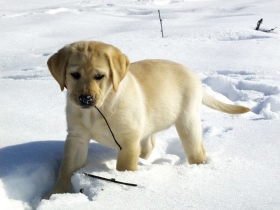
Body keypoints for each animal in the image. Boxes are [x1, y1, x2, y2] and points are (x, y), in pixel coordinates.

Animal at [43, 40, 249, 199]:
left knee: (197, 151)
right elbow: (66, 168)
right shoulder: (77, 137)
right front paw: (56, 194)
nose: (85, 98)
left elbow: (124, 167)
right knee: (149, 145)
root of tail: (194, 76)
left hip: (187, 121)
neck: (97, 110)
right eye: (75, 75)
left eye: (99, 76)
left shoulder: (128, 139)